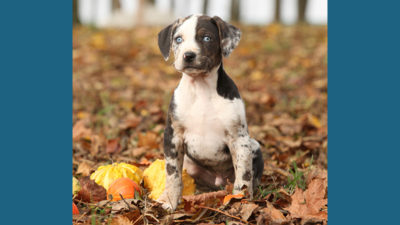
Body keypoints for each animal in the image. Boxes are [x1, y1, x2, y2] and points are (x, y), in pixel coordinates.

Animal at [158, 14, 264, 212]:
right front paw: (169, 199)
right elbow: (172, 174)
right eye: (178, 39)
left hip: (254, 145)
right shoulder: (173, 136)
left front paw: (240, 201)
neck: (201, 88)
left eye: (207, 38)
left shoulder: (239, 139)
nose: (188, 55)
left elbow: (244, 176)